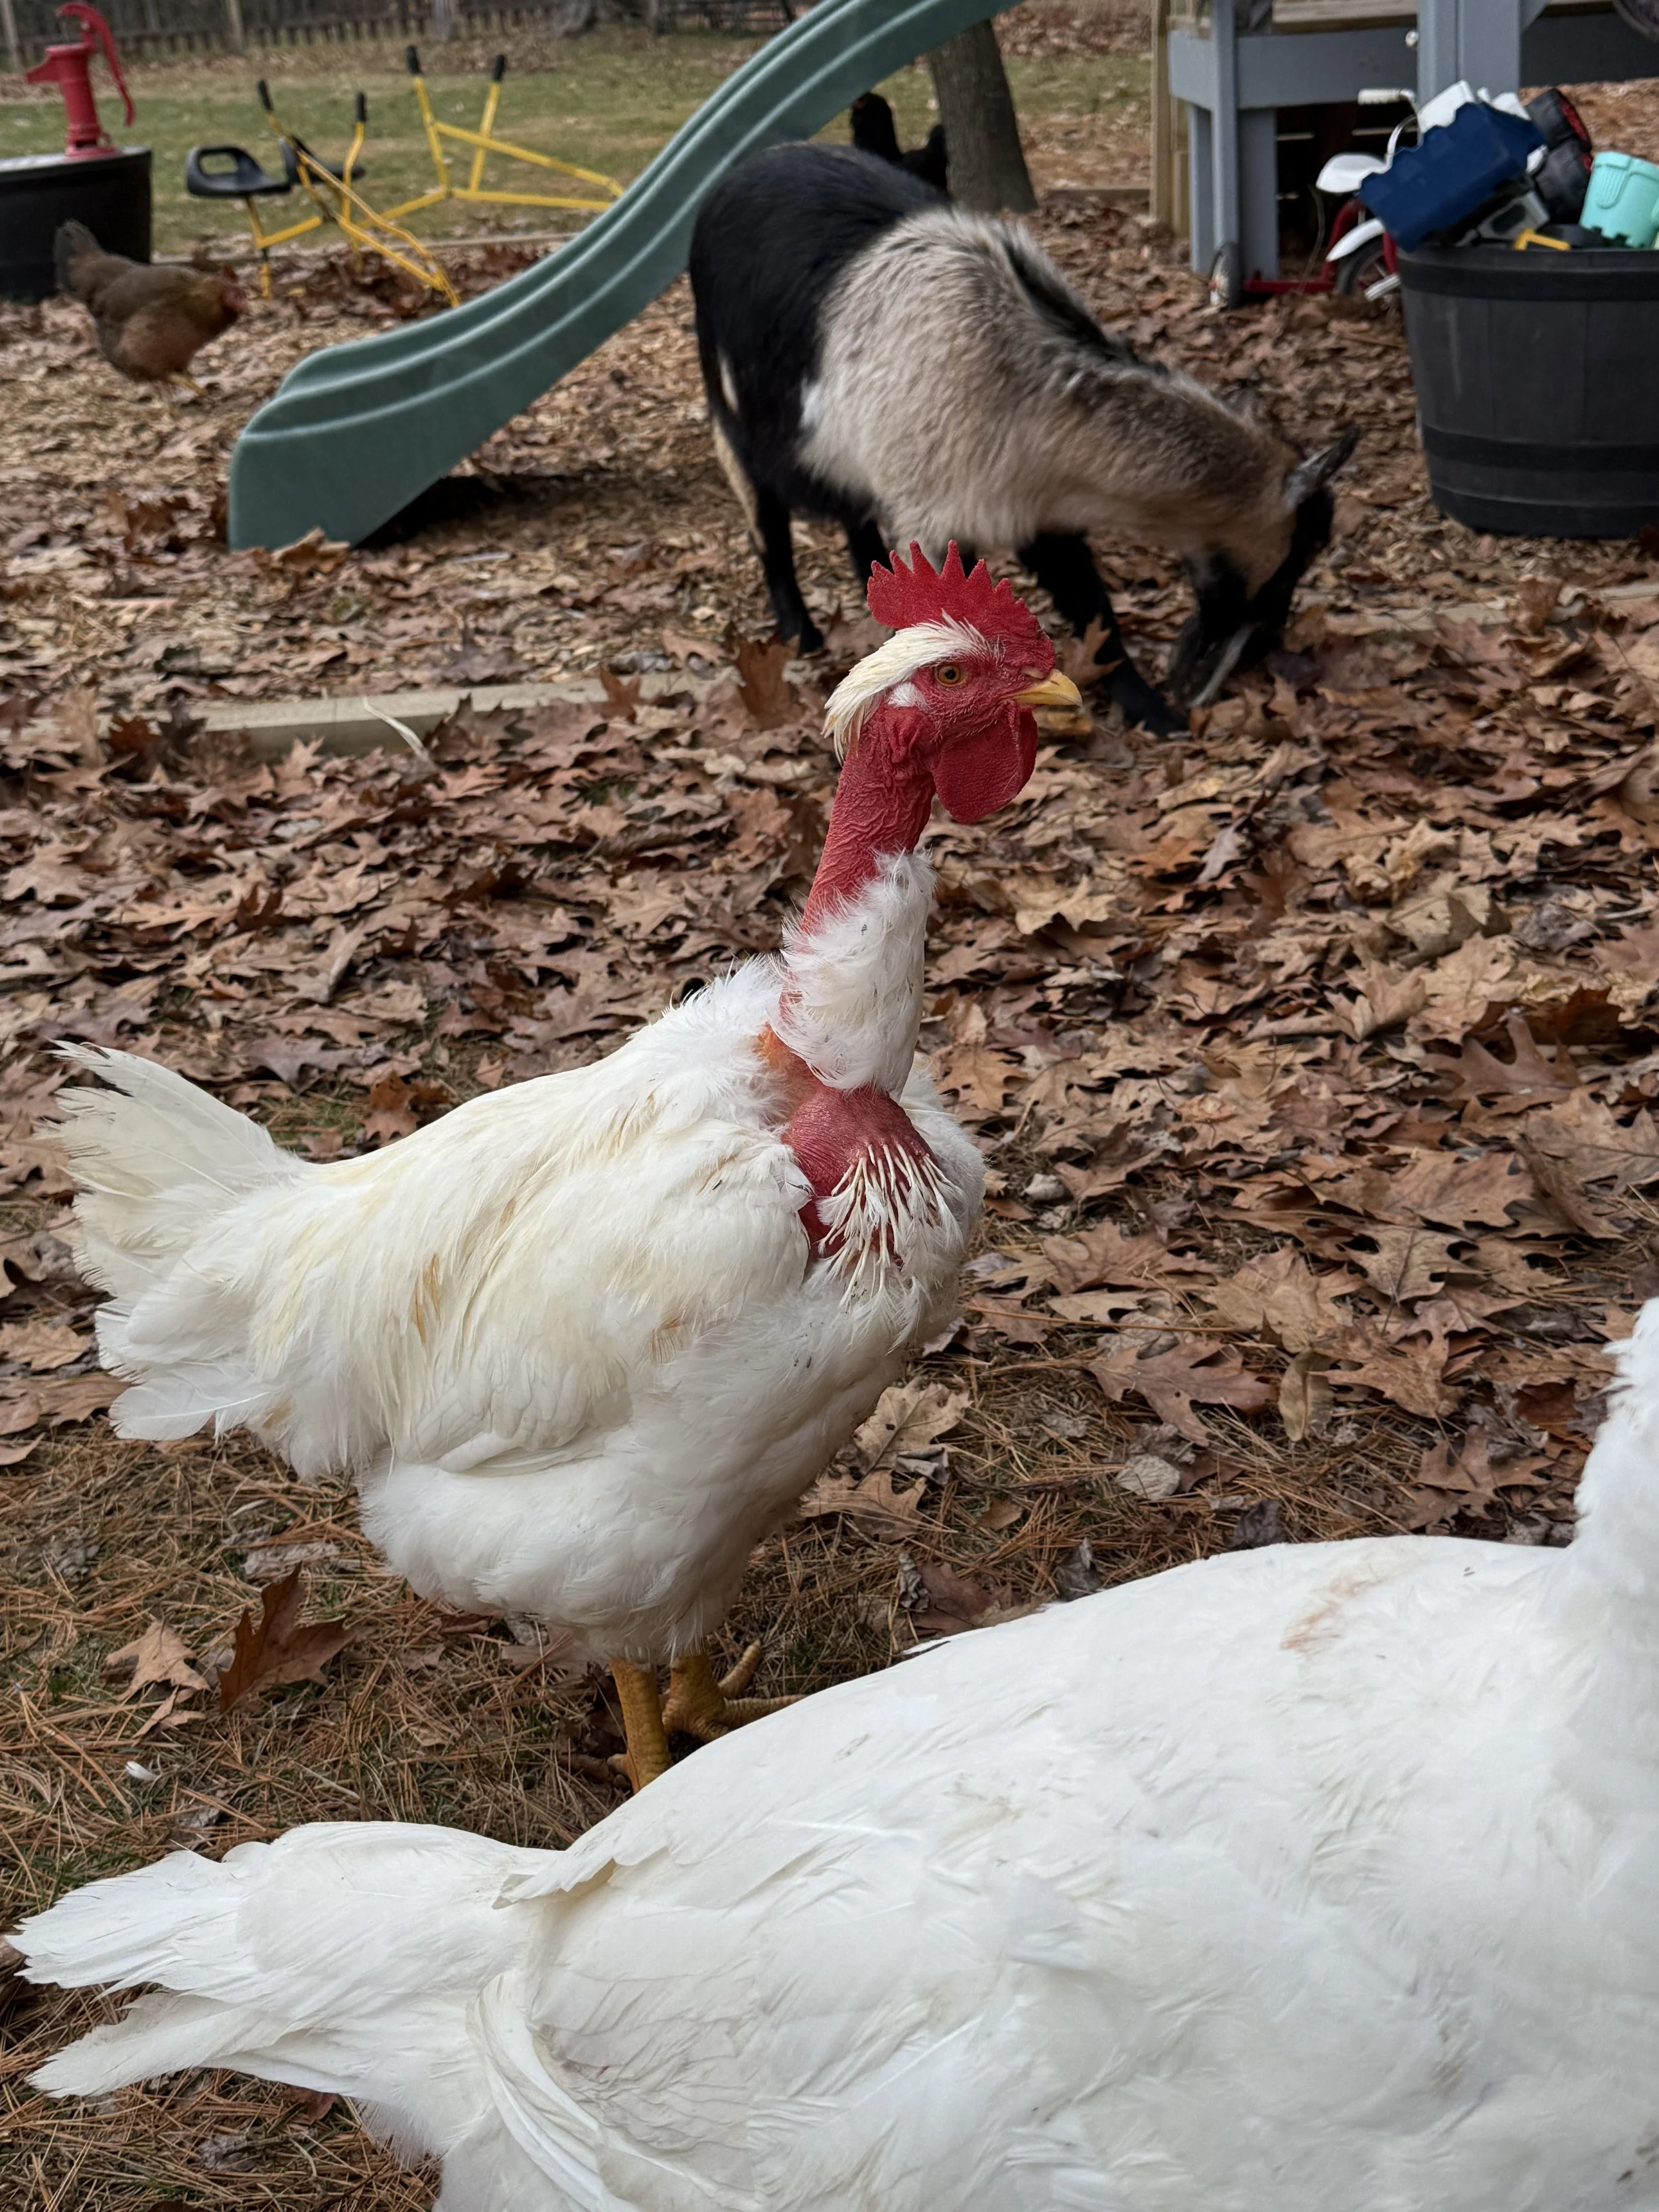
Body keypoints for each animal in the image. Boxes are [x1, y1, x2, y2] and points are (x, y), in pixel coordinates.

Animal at [689, 144, 1356, 733]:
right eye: (1288, 567)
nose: (1261, 653)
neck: (1016, 384)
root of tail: (736, 175)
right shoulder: (928, 512)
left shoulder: (1038, 509)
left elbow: (1094, 611)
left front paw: (1152, 713)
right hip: (734, 417)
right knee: (768, 526)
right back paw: (800, 633)